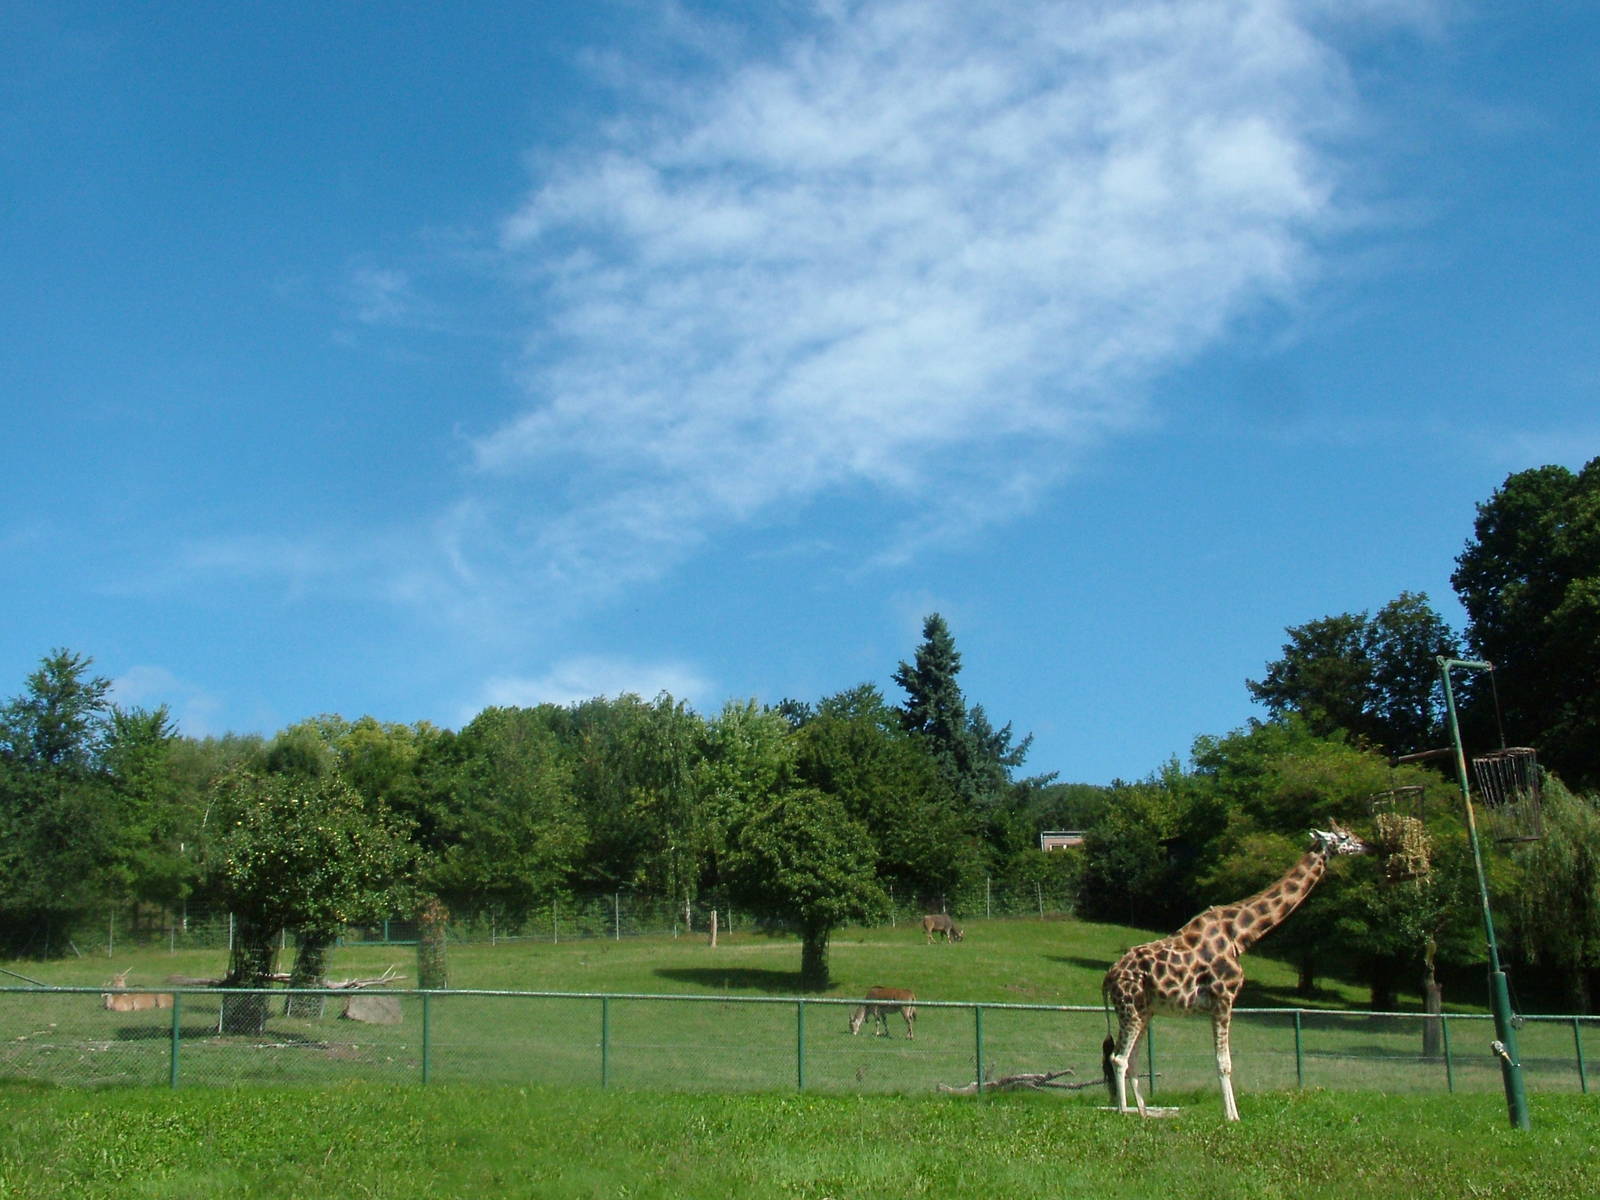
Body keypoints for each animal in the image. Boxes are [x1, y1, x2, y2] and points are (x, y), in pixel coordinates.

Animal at [1101, 821, 1371, 1120]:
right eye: (1344, 836)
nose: (1367, 845)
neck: (1239, 934)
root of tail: (1108, 977)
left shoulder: (1217, 1003)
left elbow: (1223, 1061)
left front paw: (1231, 1113)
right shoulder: (1223, 998)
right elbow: (1224, 1062)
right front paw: (1233, 1117)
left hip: (1145, 1011)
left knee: (1132, 1059)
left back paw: (1143, 1113)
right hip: (1131, 1008)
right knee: (1118, 1058)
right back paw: (1124, 1113)